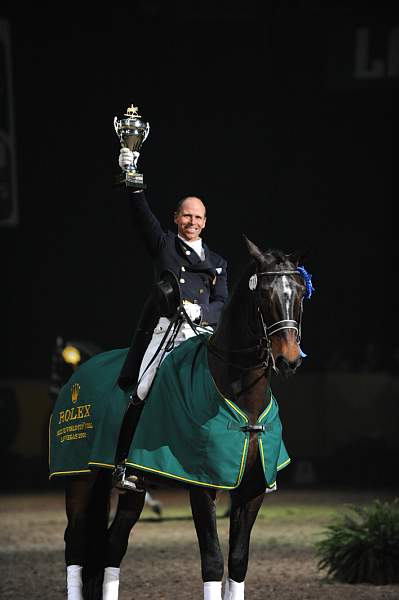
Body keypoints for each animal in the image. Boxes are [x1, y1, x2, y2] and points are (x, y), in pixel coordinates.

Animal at [52, 238, 316, 600]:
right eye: (264, 294)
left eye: (301, 292)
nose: (288, 360)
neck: (239, 396)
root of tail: (77, 378)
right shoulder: (202, 487)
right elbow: (213, 562)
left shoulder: (252, 490)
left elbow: (237, 562)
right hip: (80, 478)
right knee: (75, 543)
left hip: (132, 487)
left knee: (113, 545)